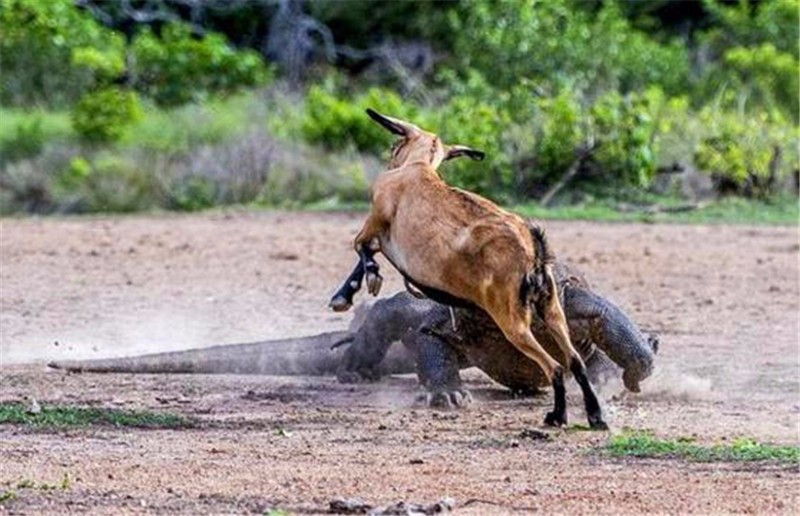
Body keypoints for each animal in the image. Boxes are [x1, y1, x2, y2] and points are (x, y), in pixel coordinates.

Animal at [330, 109, 608, 428]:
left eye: (393, 145)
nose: (390, 159)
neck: (418, 168)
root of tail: (532, 252)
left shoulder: (375, 225)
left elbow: (360, 249)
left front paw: (354, 289)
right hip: (552, 311)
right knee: (575, 362)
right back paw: (596, 416)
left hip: (513, 321)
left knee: (555, 367)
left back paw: (557, 416)